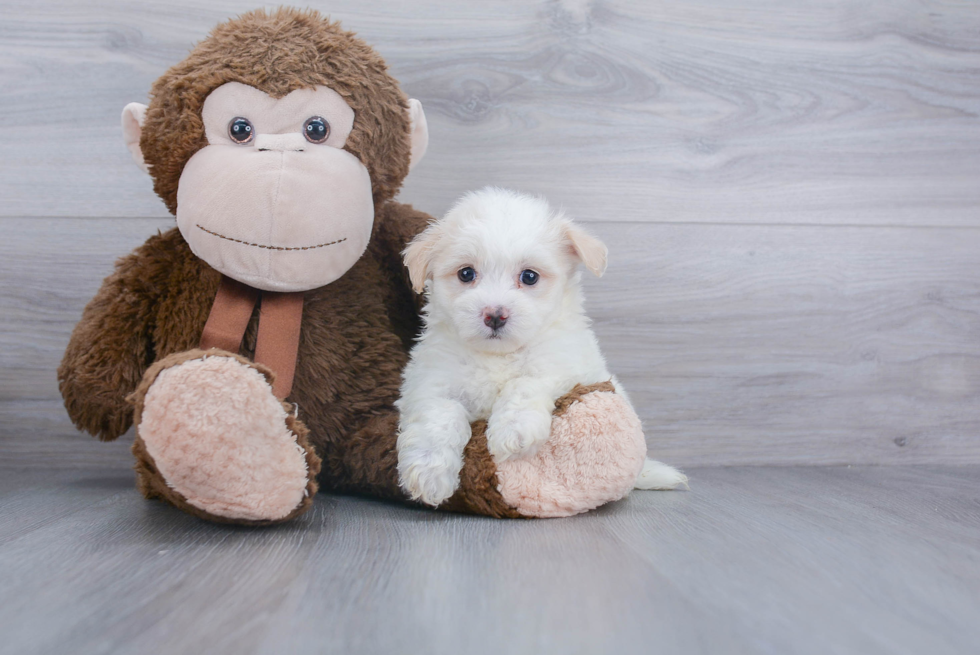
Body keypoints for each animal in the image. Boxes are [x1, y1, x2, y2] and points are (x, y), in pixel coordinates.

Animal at [394, 190, 684, 508]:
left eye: (529, 276)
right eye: (466, 274)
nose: (495, 315)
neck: (499, 356)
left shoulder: (564, 364)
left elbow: (525, 382)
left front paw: (513, 431)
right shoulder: (430, 381)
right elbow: (440, 413)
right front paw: (428, 472)